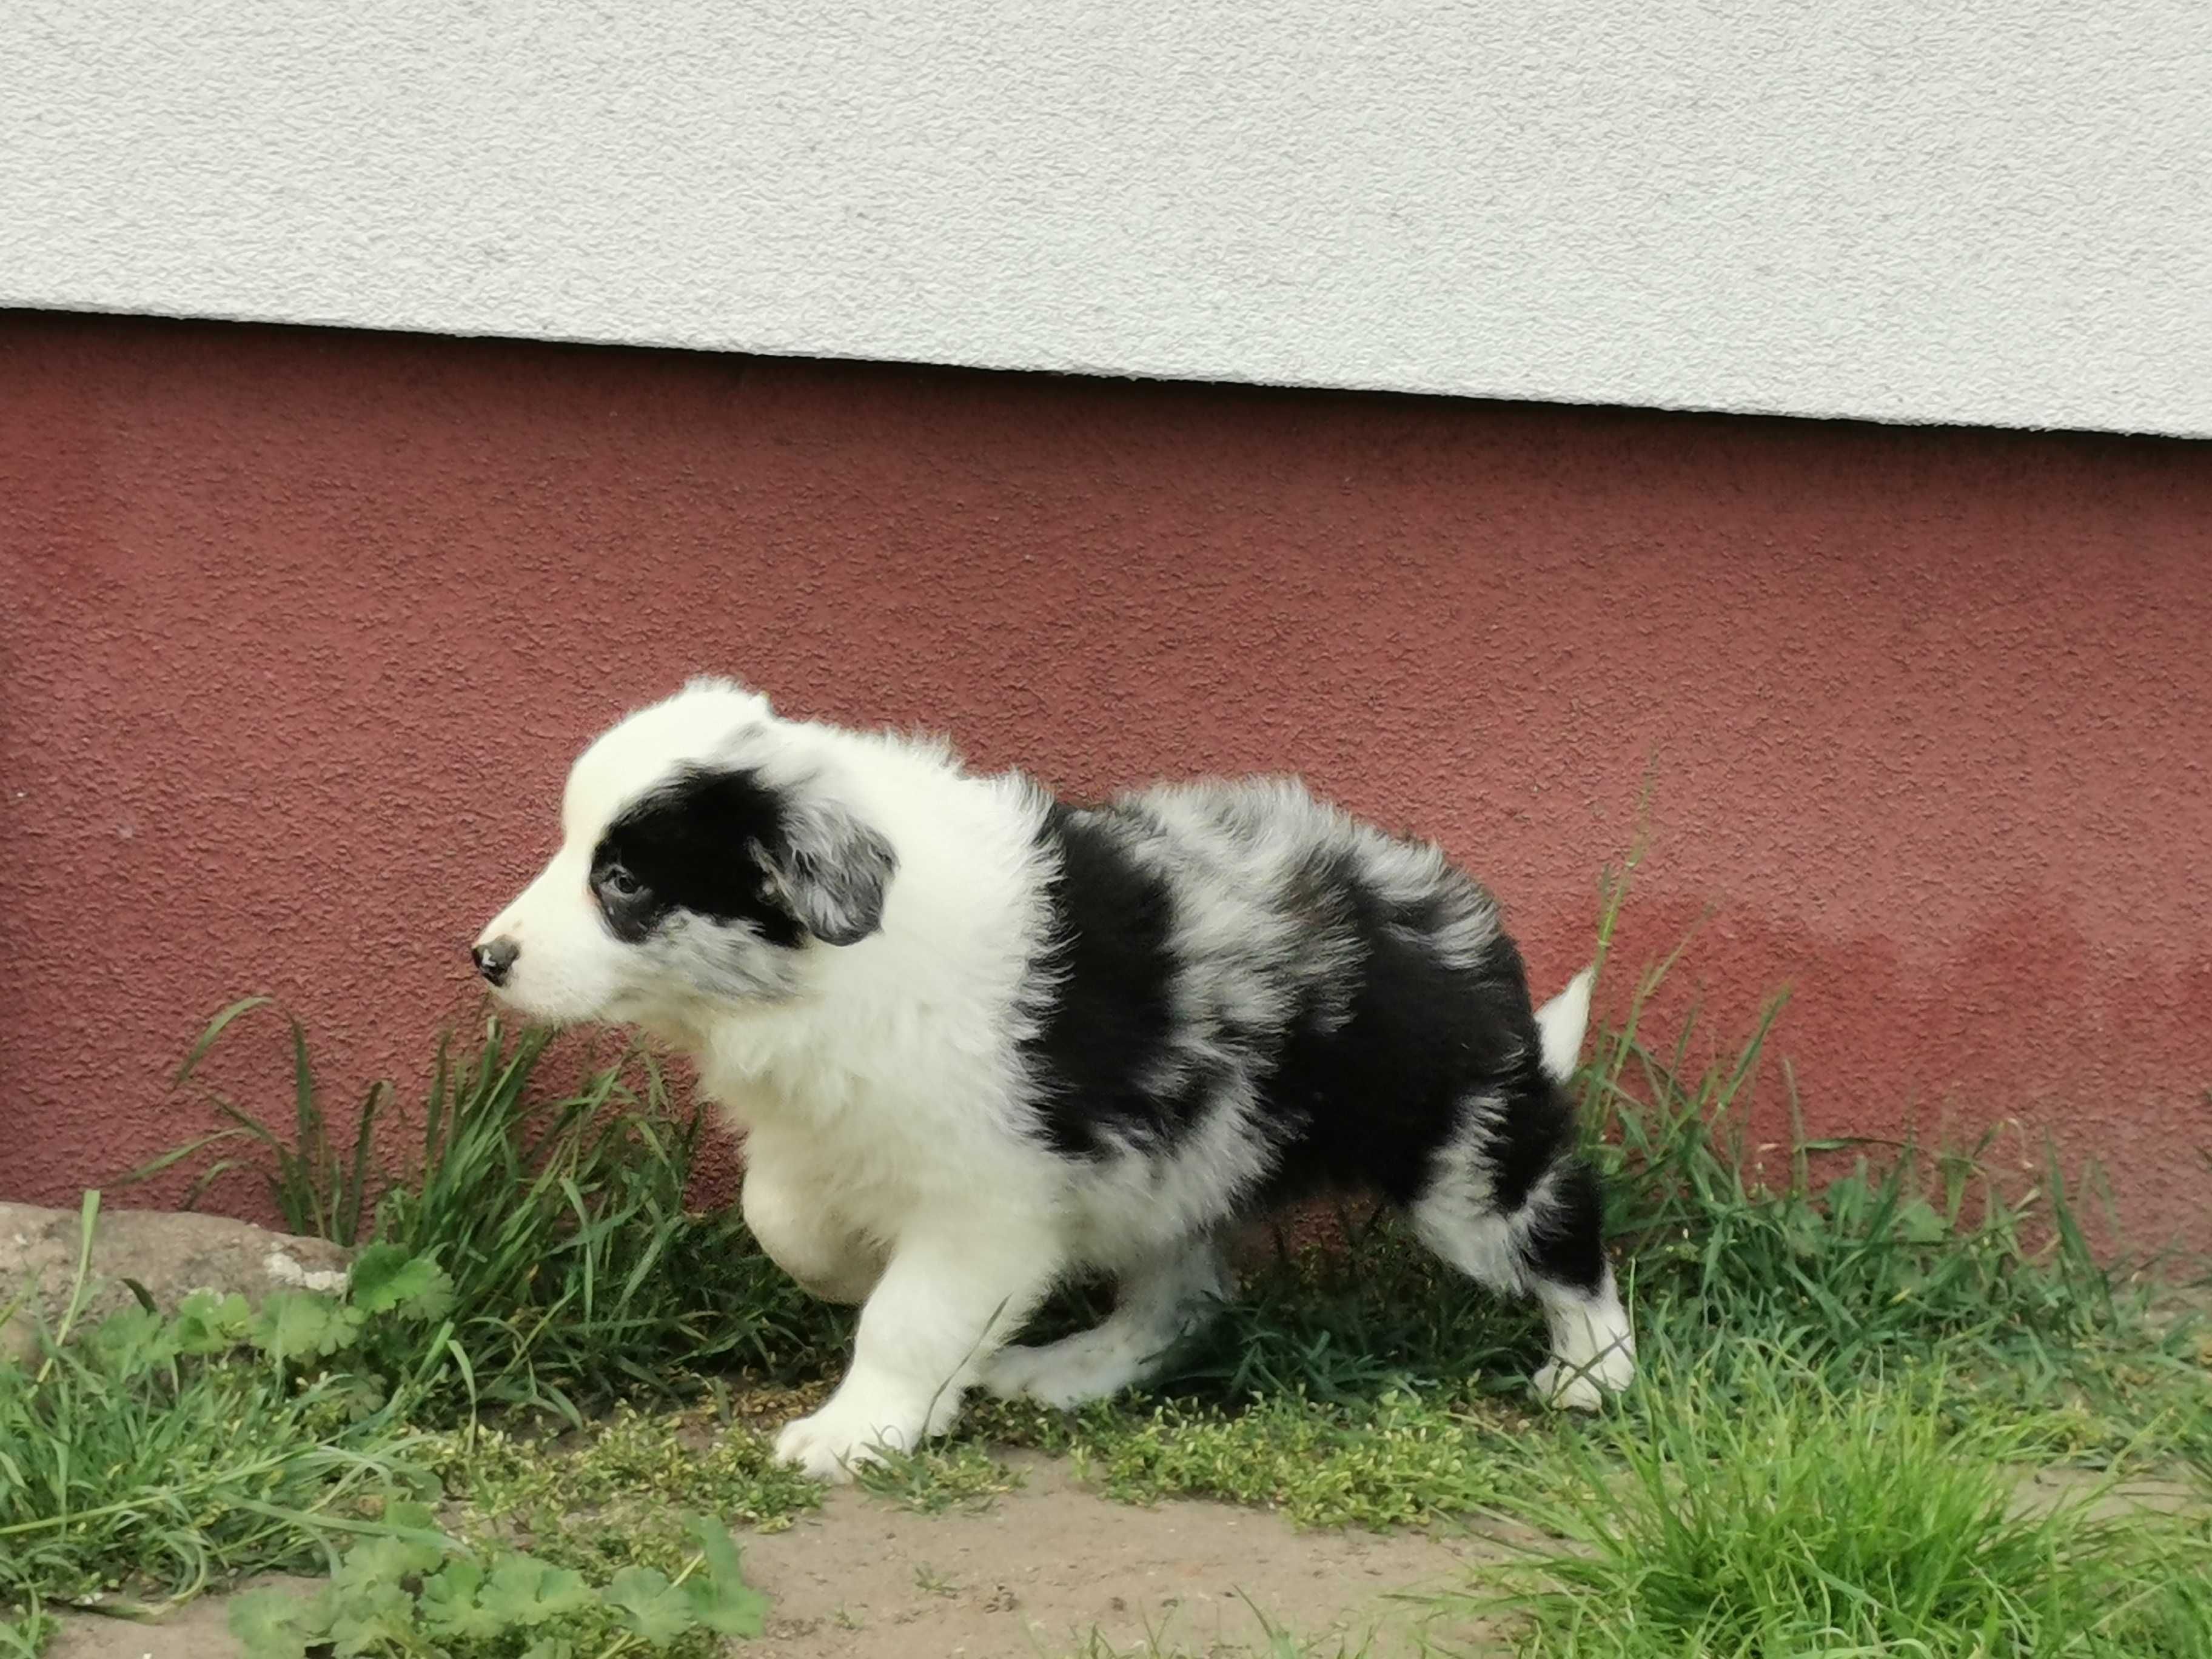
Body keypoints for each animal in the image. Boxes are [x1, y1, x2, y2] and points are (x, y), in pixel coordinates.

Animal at [475, 681, 1637, 1486]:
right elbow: (781, 1218)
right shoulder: (831, 1131)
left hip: (1458, 1151)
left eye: (623, 881)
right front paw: (849, 1273)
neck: (825, 968)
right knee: (1182, 1301)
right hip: (1175, 1164)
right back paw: (1071, 1369)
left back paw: (1592, 1374)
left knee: (1562, 1228)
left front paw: (857, 1429)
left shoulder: (988, 1199)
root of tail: (1456, 918)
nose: (485, 957)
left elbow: (910, 1316)